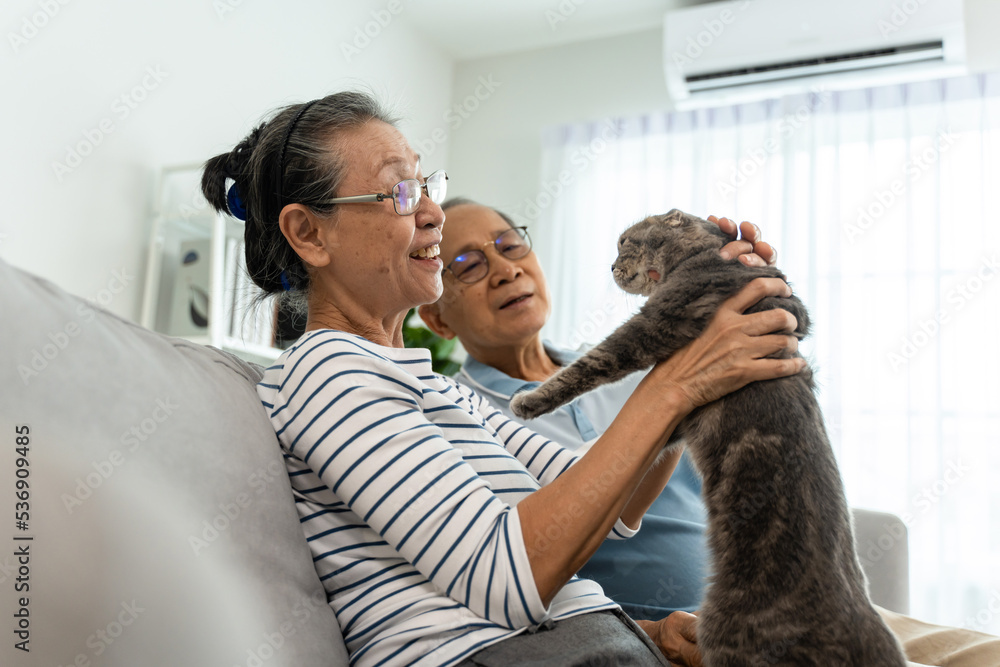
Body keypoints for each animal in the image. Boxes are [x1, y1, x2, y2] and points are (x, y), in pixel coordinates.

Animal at [512, 211, 912, 667]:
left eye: (624, 243)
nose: (611, 267)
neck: (706, 256)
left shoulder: (657, 322)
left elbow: (592, 363)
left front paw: (528, 400)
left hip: (723, 630)